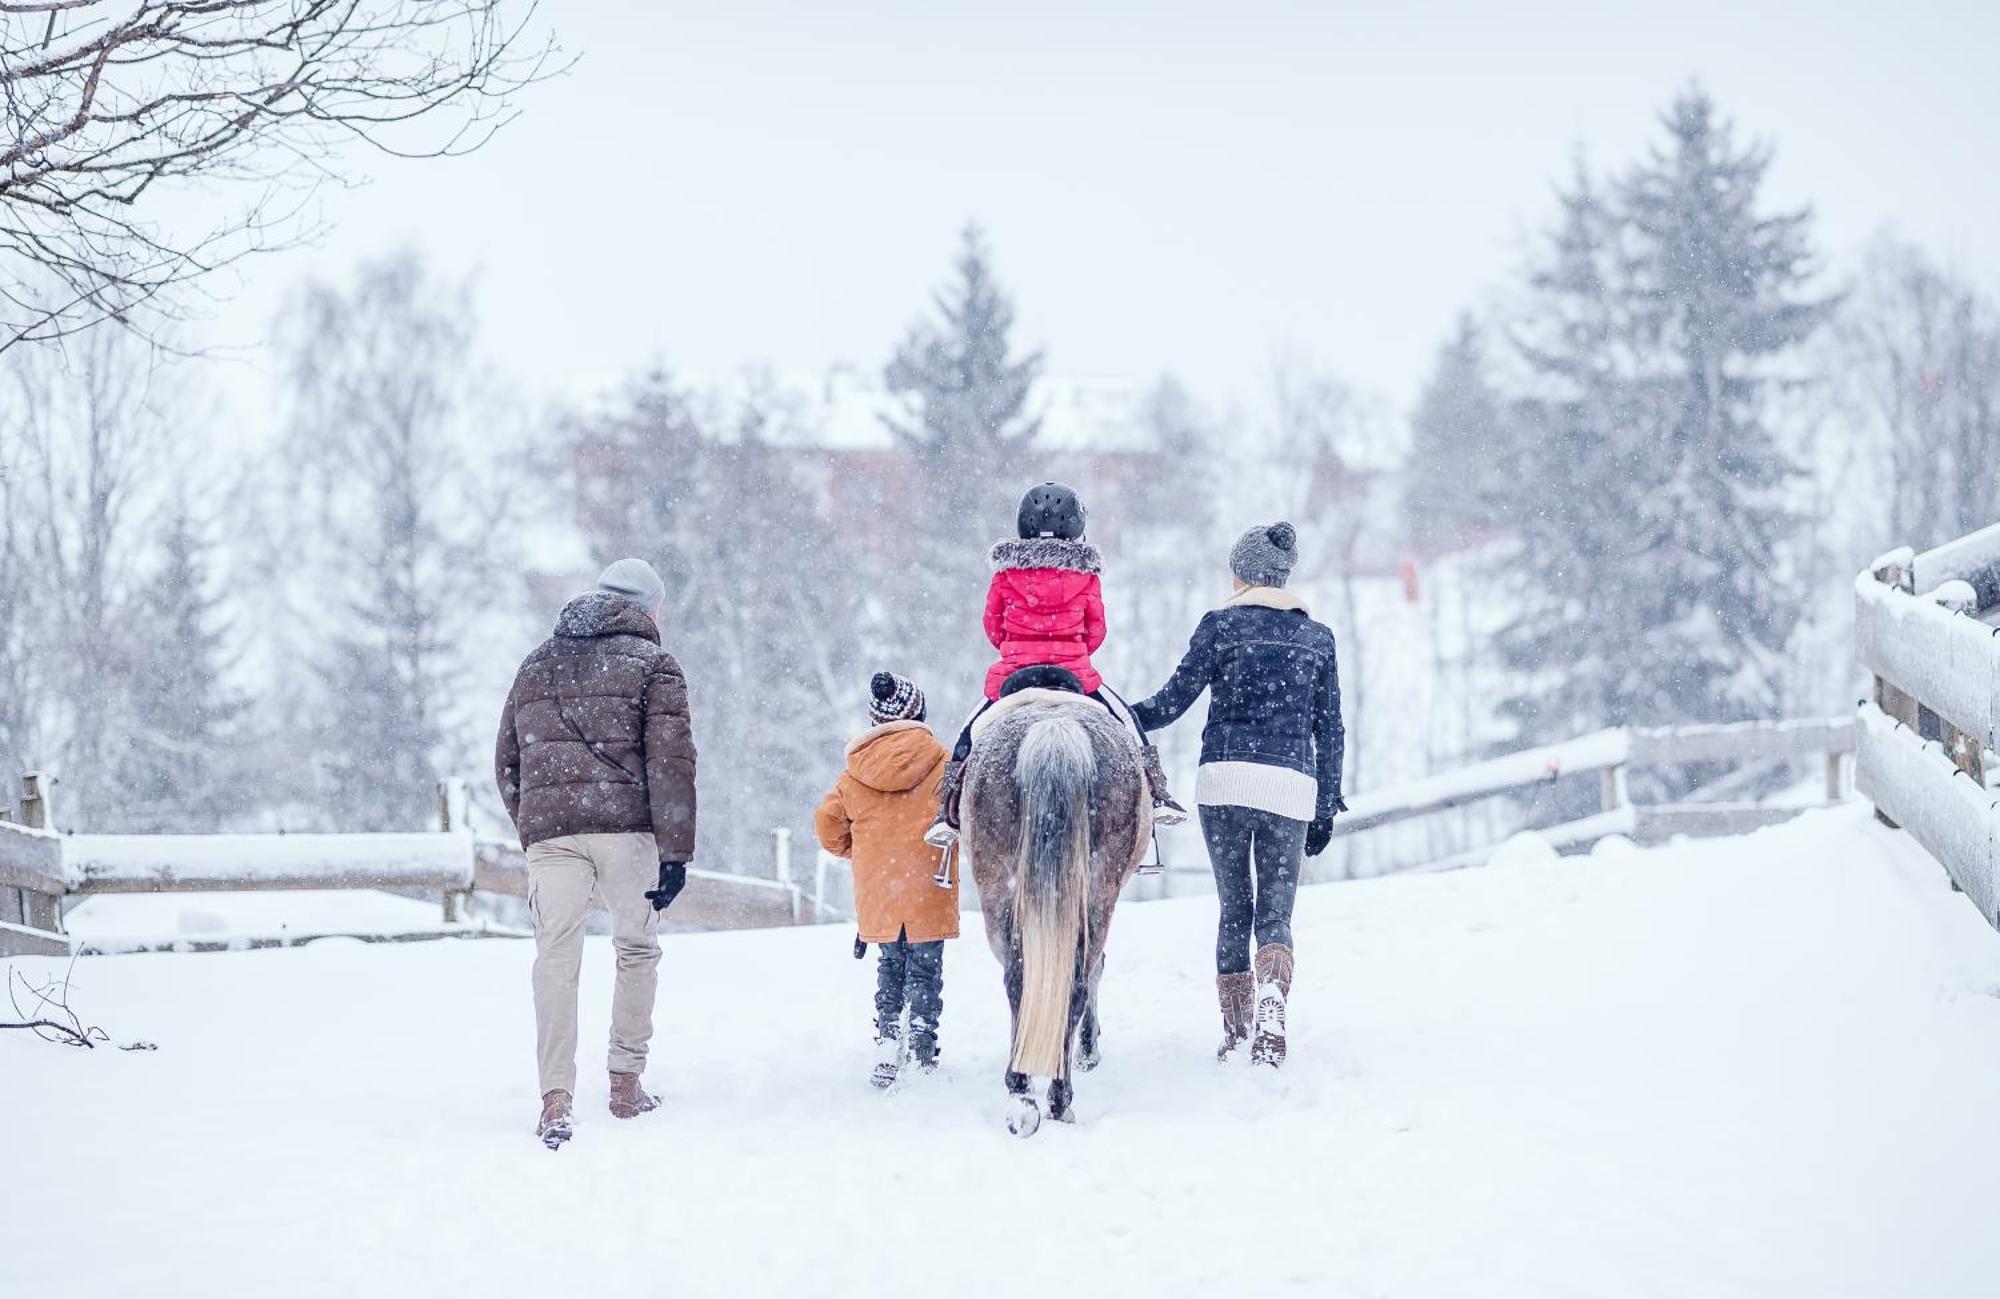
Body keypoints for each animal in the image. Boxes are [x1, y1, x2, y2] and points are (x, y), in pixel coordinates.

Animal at [956, 683, 1152, 1127]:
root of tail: (1055, 731)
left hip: (1003, 887)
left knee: (1029, 978)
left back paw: (1031, 1092)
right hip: (1094, 889)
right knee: (1069, 979)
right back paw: (1048, 1094)